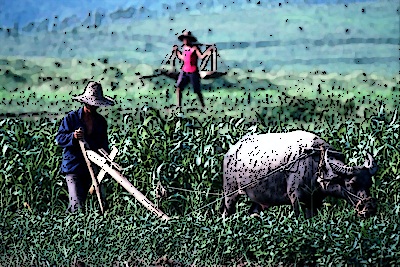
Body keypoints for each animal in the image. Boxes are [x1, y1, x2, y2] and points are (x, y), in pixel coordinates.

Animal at [220, 130, 380, 220]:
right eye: (351, 183)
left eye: (369, 183)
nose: (370, 208)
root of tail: (230, 152)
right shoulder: (296, 198)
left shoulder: (314, 201)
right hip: (230, 193)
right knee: (226, 212)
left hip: (256, 199)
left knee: (253, 212)